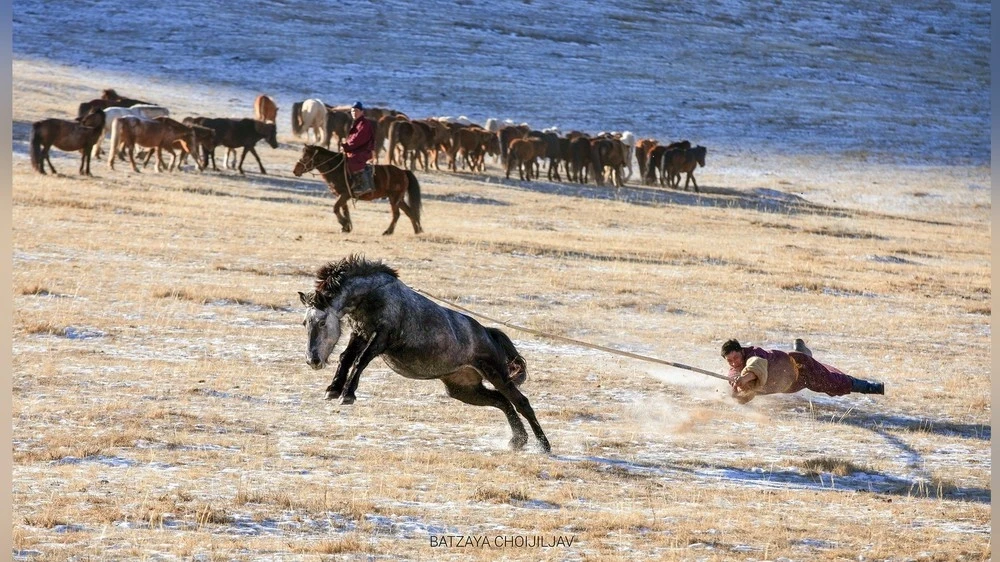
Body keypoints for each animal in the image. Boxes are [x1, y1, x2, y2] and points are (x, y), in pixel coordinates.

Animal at [292, 145, 423, 236]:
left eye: (306, 157)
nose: (295, 170)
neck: (337, 169)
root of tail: (403, 172)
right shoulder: (341, 195)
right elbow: (344, 210)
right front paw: (346, 227)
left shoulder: (345, 194)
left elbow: (335, 208)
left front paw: (344, 224)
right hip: (398, 199)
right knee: (410, 212)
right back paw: (417, 231)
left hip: (394, 198)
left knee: (396, 214)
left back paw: (388, 231)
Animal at [298, 255, 551, 452]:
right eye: (305, 322)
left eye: (322, 322)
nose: (313, 360)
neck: (373, 295)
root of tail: (488, 333)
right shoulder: (360, 333)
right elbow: (346, 358)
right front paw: (333, 390)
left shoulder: (380, 338)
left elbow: (360, 361)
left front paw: (347, 394)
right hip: (464, 389)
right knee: (502, 402)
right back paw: (517, 441)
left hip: (496, 374)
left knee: (521, 403)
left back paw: (544, 446)